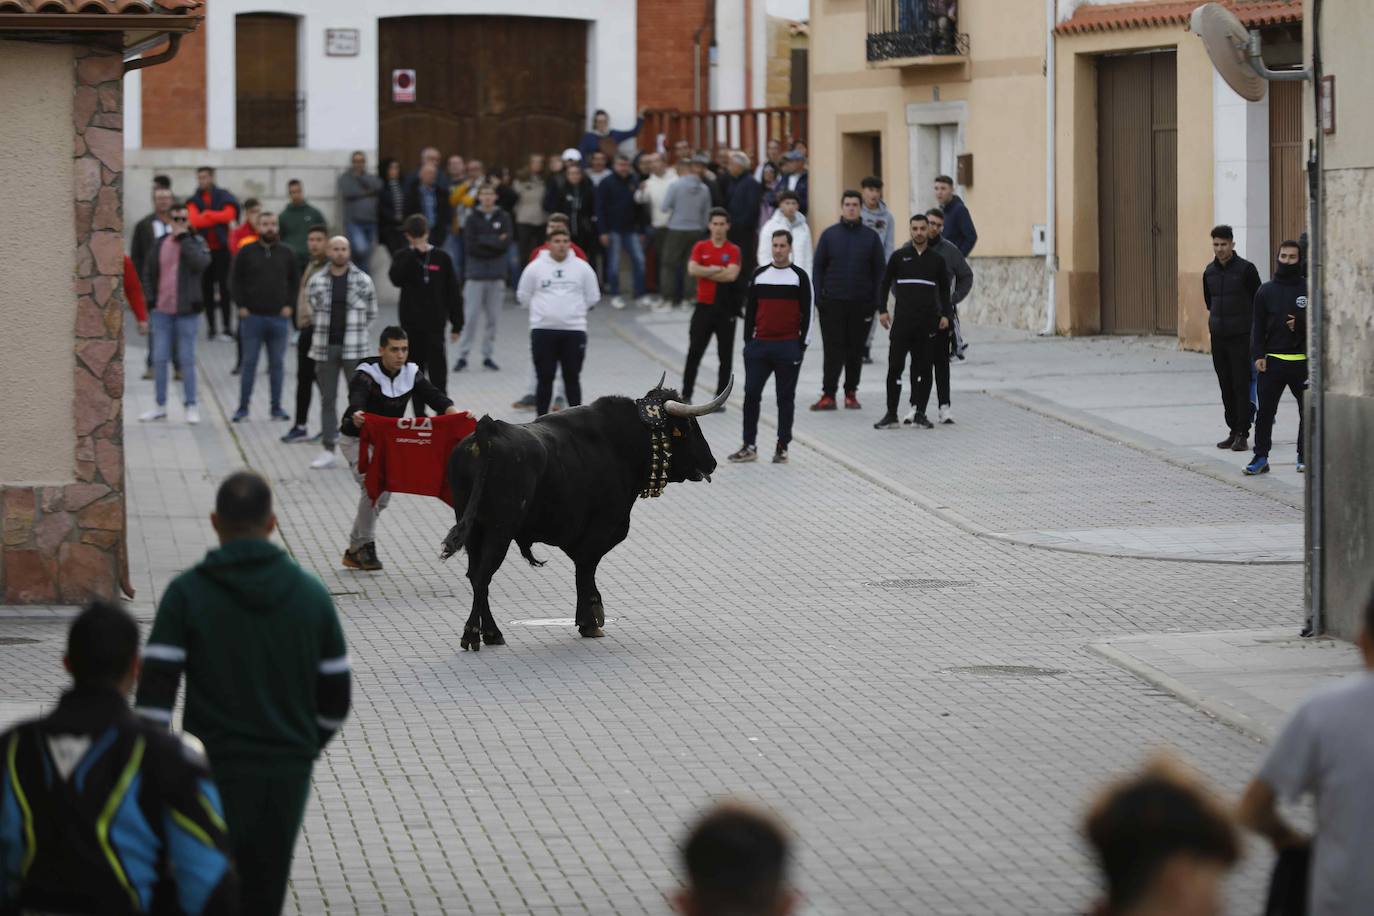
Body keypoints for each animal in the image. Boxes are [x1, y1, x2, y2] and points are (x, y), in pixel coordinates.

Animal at [445, 376, 736, 648]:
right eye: (685, 429)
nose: (711, 462)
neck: (618, 444)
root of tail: (488, 431)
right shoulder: (599, 532)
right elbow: (586, 572)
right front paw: (590, 622)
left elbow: (584, 573)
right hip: (499, 531)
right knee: (482, 576)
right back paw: (477, 634)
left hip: (473, 528)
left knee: (475, 575)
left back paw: (489, 633)